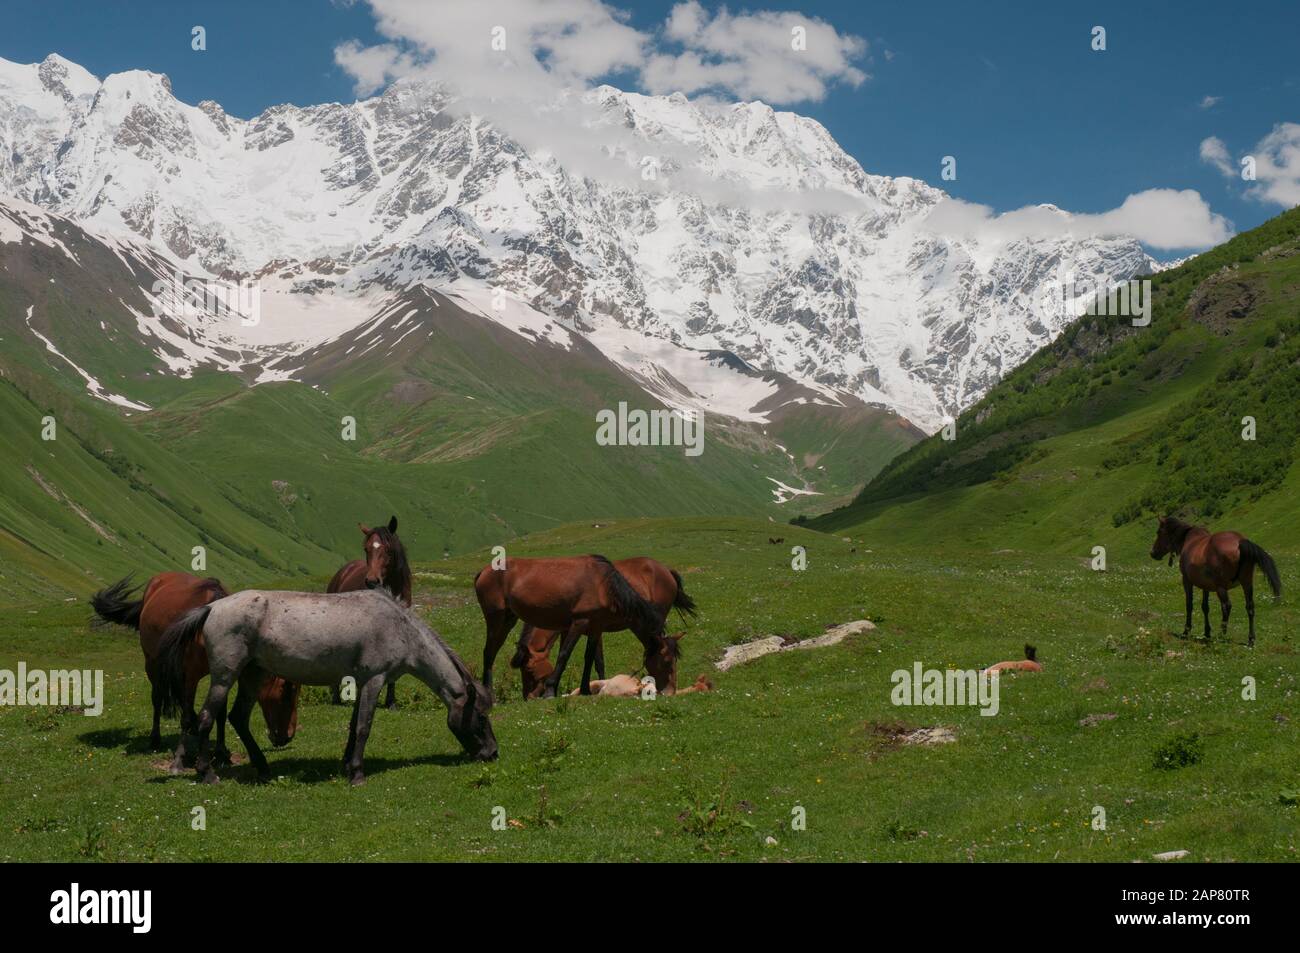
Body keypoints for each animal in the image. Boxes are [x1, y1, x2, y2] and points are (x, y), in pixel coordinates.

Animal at [90, 569, 297, 769]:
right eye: (287, 691)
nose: (288, 736)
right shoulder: (190, 676)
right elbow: (186, 715)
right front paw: (180, 759)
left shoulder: (221, 674)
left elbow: (219, 713)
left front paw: (221, 752)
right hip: (153, 664)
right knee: (158, 698)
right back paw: (156, 739)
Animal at [157, 590, 491, 785]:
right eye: (481, 716)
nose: (492, 752)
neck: (399, 627)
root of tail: (213, 607)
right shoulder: (375, 679)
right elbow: (364, 727)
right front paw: (357, 773)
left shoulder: (361, 681)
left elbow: (354, 725)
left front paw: (347, 764)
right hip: (225, 677)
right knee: (205, 718)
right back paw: (206, 773)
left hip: (253, 675)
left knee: (237, 718)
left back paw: (262, 768)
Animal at [475, 551, 691, 696]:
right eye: (667, 661)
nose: (670, 691)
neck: (604, 584)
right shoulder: (579, 623)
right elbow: (565, 654)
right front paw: (551, 690)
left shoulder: (594, 626)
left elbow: (589, 657)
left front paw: (586, 689)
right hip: (497, 619)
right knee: (489, 652)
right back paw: (489, 693)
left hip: (507, 619)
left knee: (491, 651)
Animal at [1149, 517, 1279, 642]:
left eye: (1159, 532)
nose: (1152, 553)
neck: (1189, 541)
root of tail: (1240, 541)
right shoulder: (1205, 586)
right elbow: (1205, 607)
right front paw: (1207, 632)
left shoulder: (1186, 581)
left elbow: (1189, 605)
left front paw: (1186, 631)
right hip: (1247, 583)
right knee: (1250, 606)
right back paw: (1251, 639)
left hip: (1221, 588)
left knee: (1227, 606)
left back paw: (1221, 635)